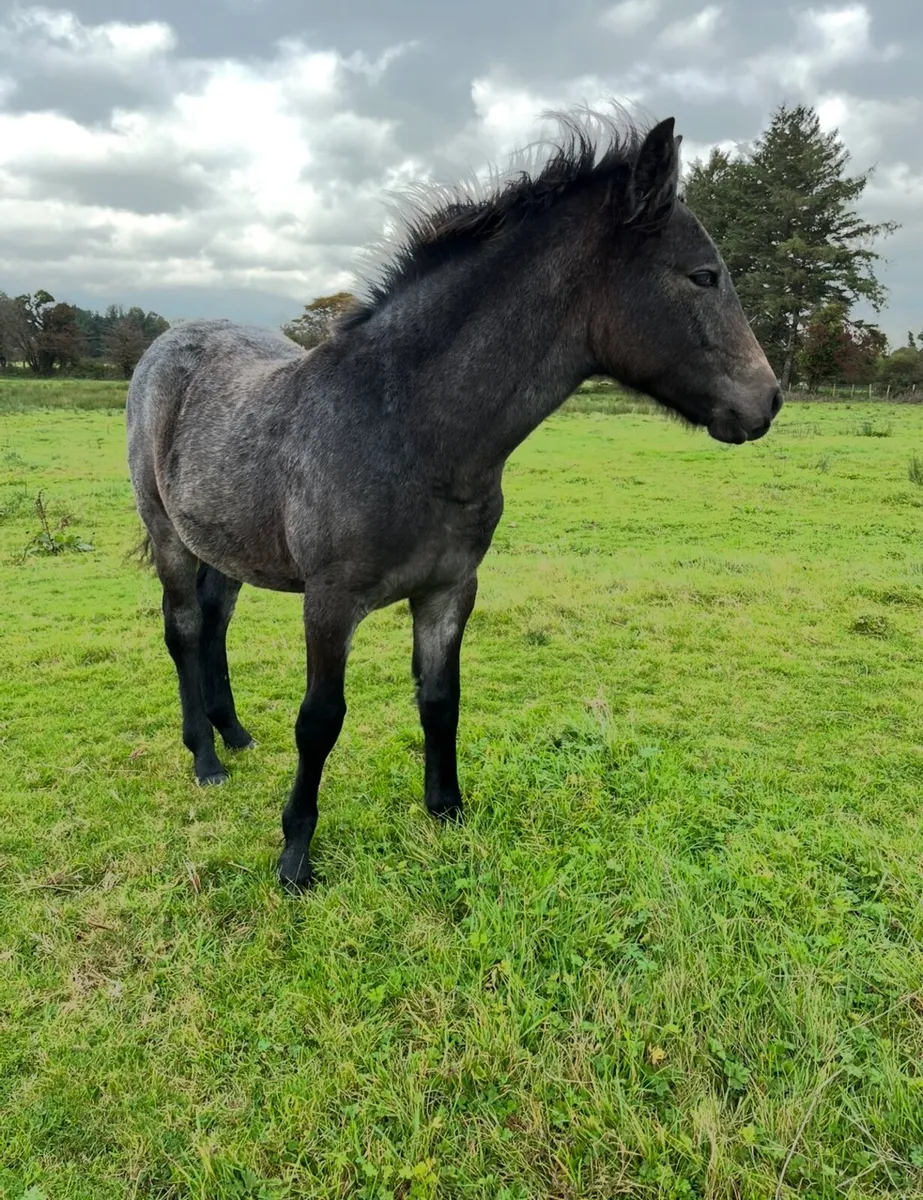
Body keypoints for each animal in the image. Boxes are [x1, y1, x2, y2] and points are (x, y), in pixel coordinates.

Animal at [126, 108, 782, 892]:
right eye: (703, 276)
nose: (768, 400)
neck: (405, 425)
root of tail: (168, 344)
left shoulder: (449, 590)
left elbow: (441, 701)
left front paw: (446, 811)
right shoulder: (329, 602)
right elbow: (320, 720)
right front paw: (294, 855)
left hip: (226, 544)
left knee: (217, 622)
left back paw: (234, 732)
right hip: (168, 532)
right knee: (186, 629)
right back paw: (205, 757)